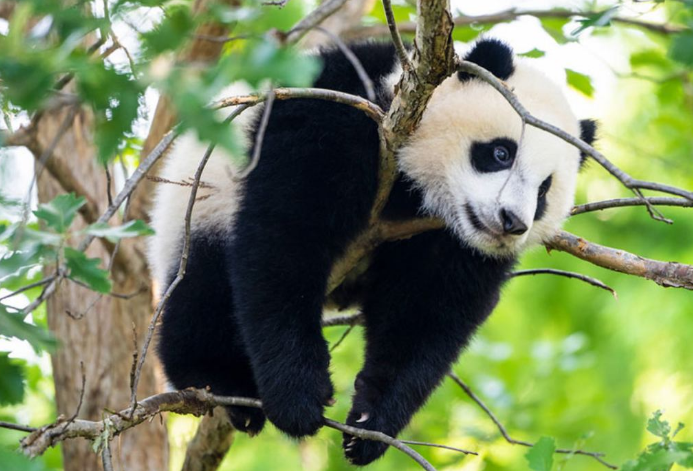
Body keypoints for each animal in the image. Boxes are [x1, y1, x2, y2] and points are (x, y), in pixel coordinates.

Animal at [147, 38, 596, 466]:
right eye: (501, 152)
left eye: (544, 190)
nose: (511, 222)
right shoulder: (335, 117)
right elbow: (285, 238)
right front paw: (299, 398)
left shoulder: (450, 243)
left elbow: (427, 310)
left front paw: (369, 424)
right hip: (199, 209)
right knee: (202, 293)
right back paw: (219, 383)